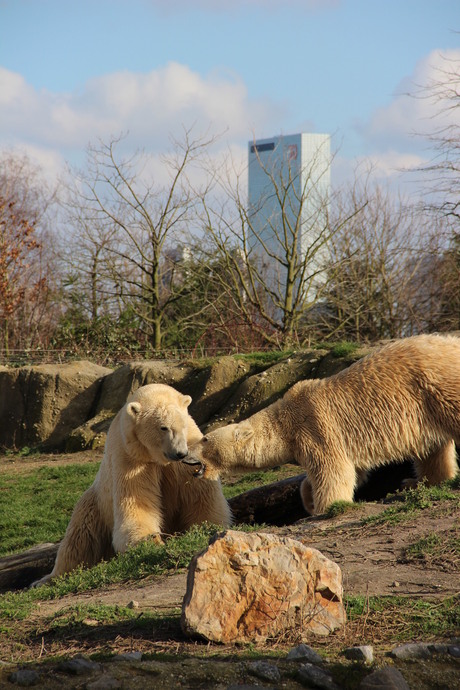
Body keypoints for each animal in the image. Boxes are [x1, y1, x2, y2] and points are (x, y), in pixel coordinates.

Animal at [33, 378, 230, 584]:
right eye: (163, 427)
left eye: (182, 425)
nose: (180, 453)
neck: (156, 457)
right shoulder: (130, 459)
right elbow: (136, 504)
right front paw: (151, 540)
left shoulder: (187, 457)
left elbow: (201, 496)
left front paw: (208, 528)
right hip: (95, 505)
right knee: (78, 540)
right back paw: (47, 578)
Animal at [185, 334, 458, 516]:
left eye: (204, 439)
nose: (186, 454)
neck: (286, 420)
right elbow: (350, 471)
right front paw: (309, 499)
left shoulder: (317, 427)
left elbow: (333, 471)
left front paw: (326, 507)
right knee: (433, 448)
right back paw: (419, 482)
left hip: (435, 385)